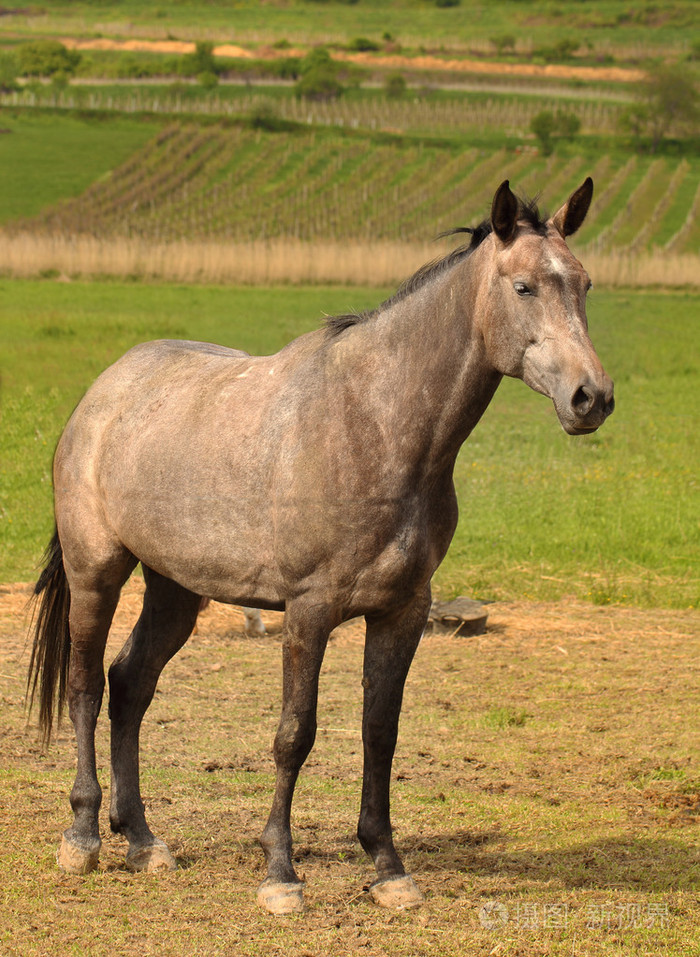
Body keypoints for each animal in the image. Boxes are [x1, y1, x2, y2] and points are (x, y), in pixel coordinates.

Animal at [27, 177, 612, 912]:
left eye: (584, 284)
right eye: (524, 286)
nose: (591, 397)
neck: (374, 424)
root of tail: (103, 393)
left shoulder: (402, 610)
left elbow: (379, 730)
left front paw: (387, 866)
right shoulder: (308, 610)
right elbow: (293, 734)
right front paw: (280, 872)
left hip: (176, 589)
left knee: (130, 684)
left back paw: (142, 839)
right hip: (96, 572)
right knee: (84, 687)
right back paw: (82, 837)